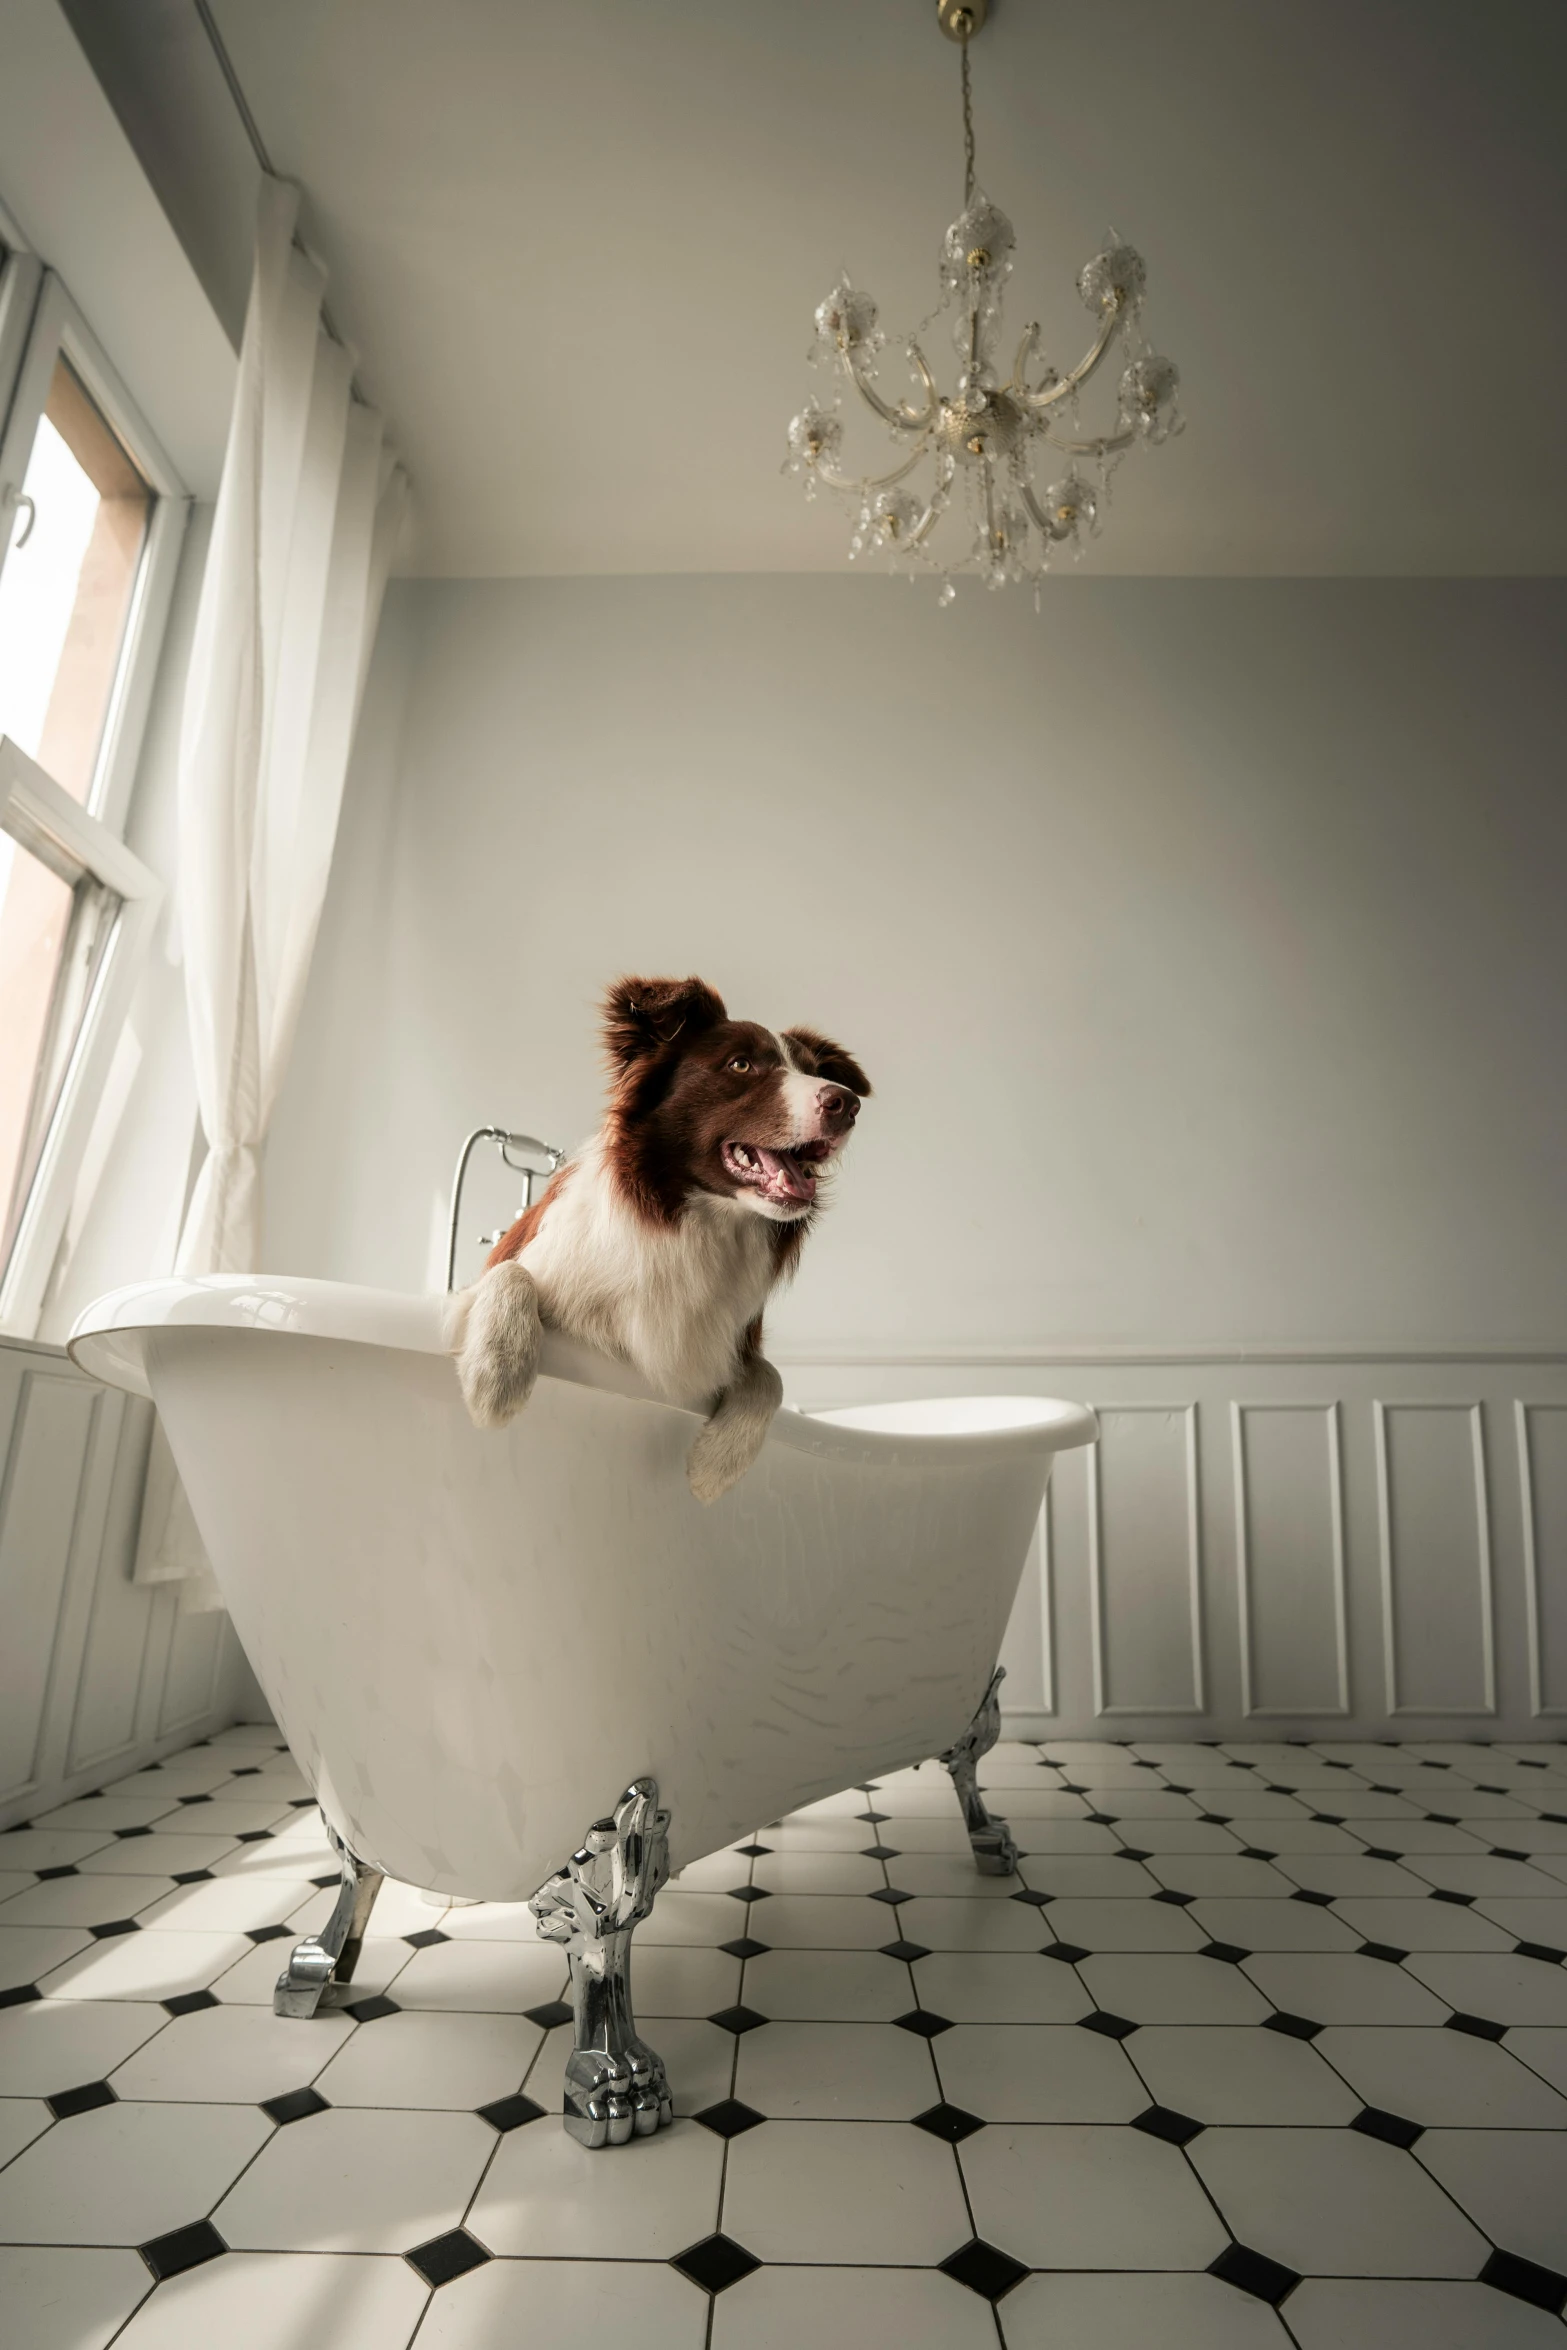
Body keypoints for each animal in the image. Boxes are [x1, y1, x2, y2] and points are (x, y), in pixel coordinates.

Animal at [451, 977, 869, 1504]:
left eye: (814, 1071)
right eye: (740, 1064)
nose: (848, 1103)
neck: (695, 1221)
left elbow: (769, 1375)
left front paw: (715, 1466)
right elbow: (509, 1272)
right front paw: (495, 1378)